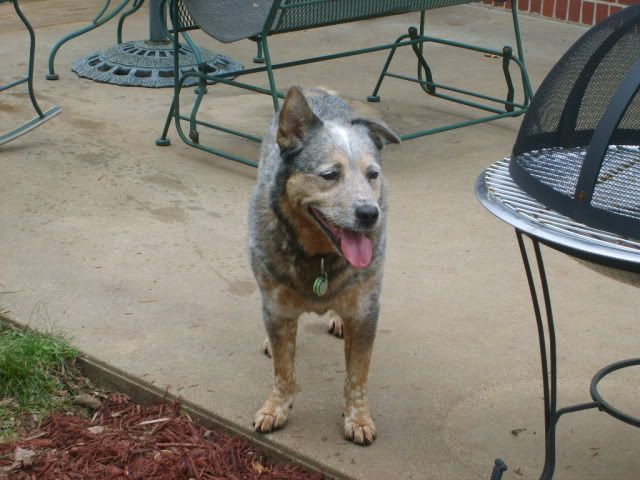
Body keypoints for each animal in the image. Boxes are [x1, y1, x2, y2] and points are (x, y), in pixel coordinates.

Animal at [248, 86, 398, 446]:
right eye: (330, 175)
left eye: (373, 174)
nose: (370, 214)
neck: (319, 256)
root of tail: (316, 90)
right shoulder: (277, 307)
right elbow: (283, 369)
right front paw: (276, 408)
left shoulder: (366, 311)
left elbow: (357, 374)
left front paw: (358, 418)